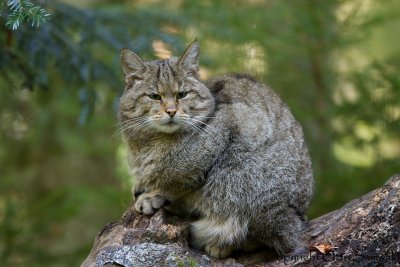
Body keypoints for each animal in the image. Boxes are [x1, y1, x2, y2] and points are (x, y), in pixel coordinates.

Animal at [117, 40, 314, 260]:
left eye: (181, 95)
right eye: (154, 96)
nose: (171, 111)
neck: (149, 143)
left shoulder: (221, 139)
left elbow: (176, 182)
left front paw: (153, 195)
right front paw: (144, 185)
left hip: (243, 180)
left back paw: (221, 244)